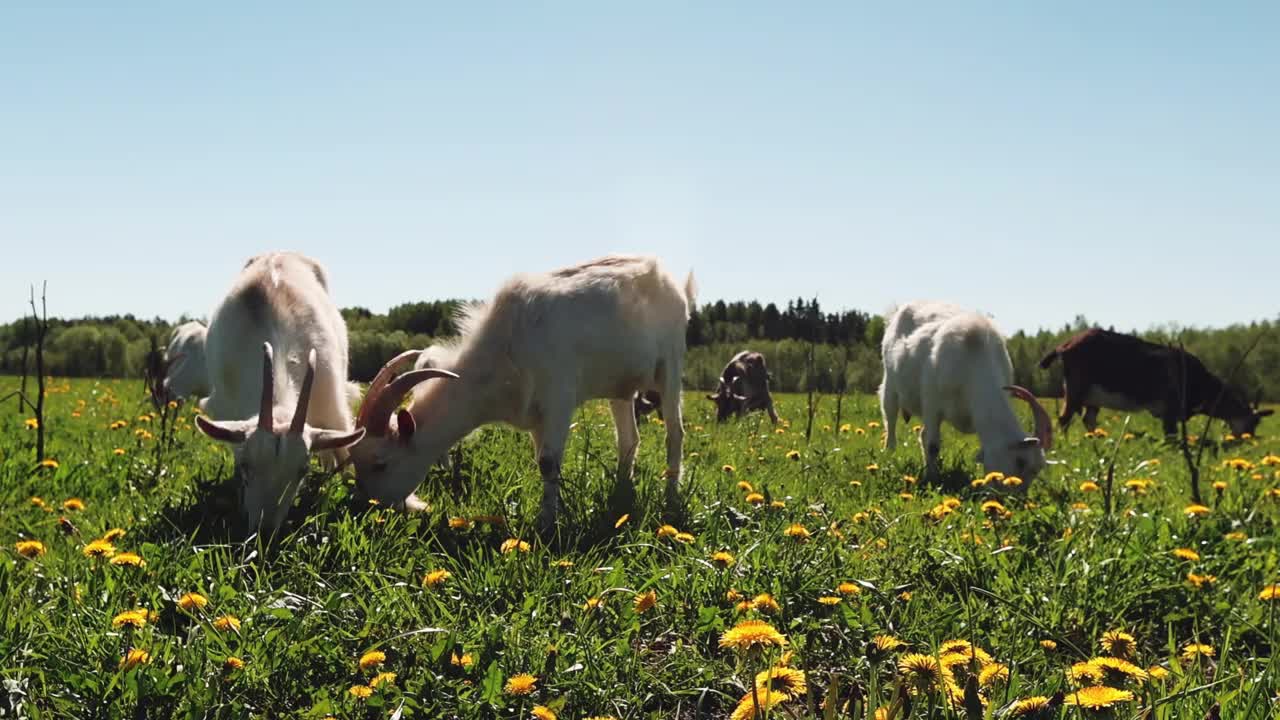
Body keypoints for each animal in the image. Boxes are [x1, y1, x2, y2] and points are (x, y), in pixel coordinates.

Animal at [345, 253, 696, 527]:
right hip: (619, 385)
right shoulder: (535, 416)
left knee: (674, 433)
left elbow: (549, 462)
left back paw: (671, 500)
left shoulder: (559, 398)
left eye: (380, 462)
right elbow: (543, 462)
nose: (363, 507)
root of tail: (676, 284)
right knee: (629, 439)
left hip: (670, 363)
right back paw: (622, 497)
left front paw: (546, 525)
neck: (507, 348)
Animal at [875, 299, 1054, 479]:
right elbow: (932, 444)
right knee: (890, 420)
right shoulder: (932, 405)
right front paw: (932, 477)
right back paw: (889, 453)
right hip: (890, 385)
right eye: (1020, 462)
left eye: (1036, 470)